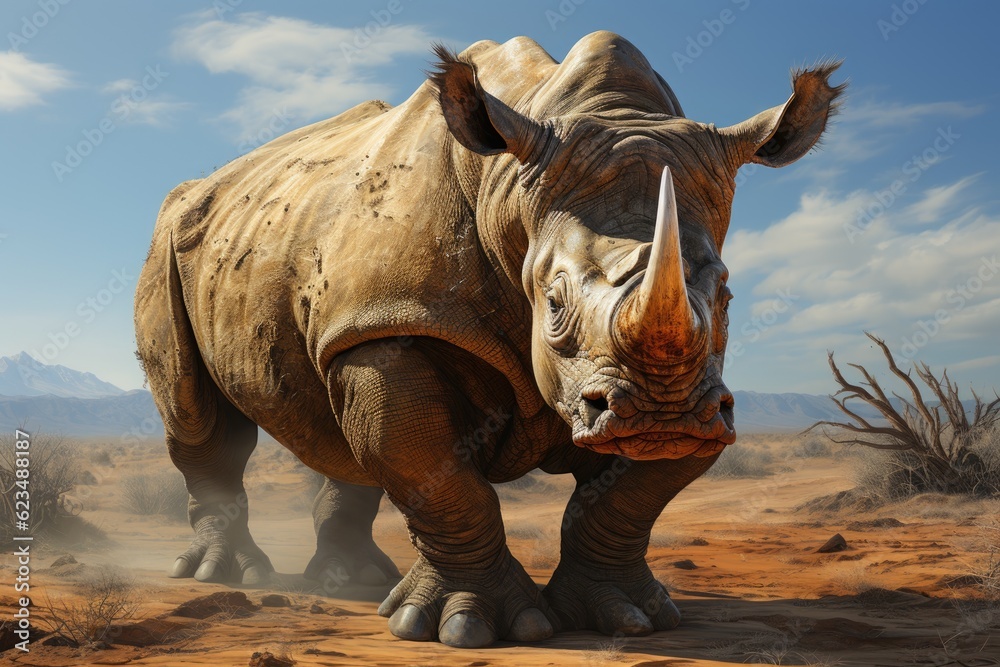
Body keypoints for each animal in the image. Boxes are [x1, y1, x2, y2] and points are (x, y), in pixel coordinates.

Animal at [134, 31, 843, 648]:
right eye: (553, 303)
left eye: (725, 300)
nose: (661, 414)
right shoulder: (392, 319)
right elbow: (434, 471)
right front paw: (469, 628)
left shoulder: (706, 395)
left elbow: (629, 500)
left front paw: (632, 619)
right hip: (172, 238)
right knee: (199, 418)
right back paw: (225, 575)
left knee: (338, 428)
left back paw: (354, 582)